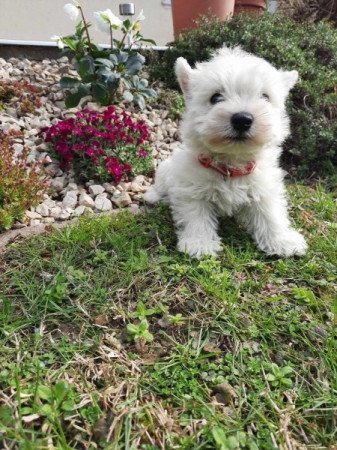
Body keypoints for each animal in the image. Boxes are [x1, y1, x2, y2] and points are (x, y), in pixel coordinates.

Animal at [143, 47, 306, 258]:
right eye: (215, 97)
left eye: (265, 96)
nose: (242, 119)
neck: (230, 163)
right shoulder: (192, 192)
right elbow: (196, 217)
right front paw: (199, 243)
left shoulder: (264, 188)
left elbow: (271, 214)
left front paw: (282, 240)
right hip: (166, 169)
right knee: (160, 186)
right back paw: (152, 196)